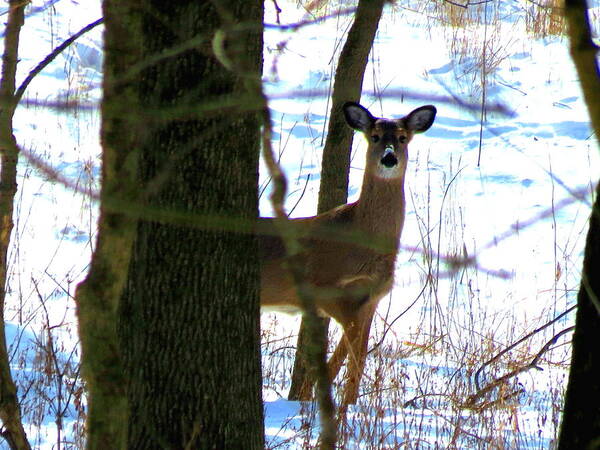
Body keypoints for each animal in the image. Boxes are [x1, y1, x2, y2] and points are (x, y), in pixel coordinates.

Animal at [258, 100, 436, 406]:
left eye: (403, 138)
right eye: (374, 136)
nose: (389, 158)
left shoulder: (370, 302)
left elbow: (345, 360)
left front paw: (341, 405)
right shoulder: (329, 291)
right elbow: (354, 359)